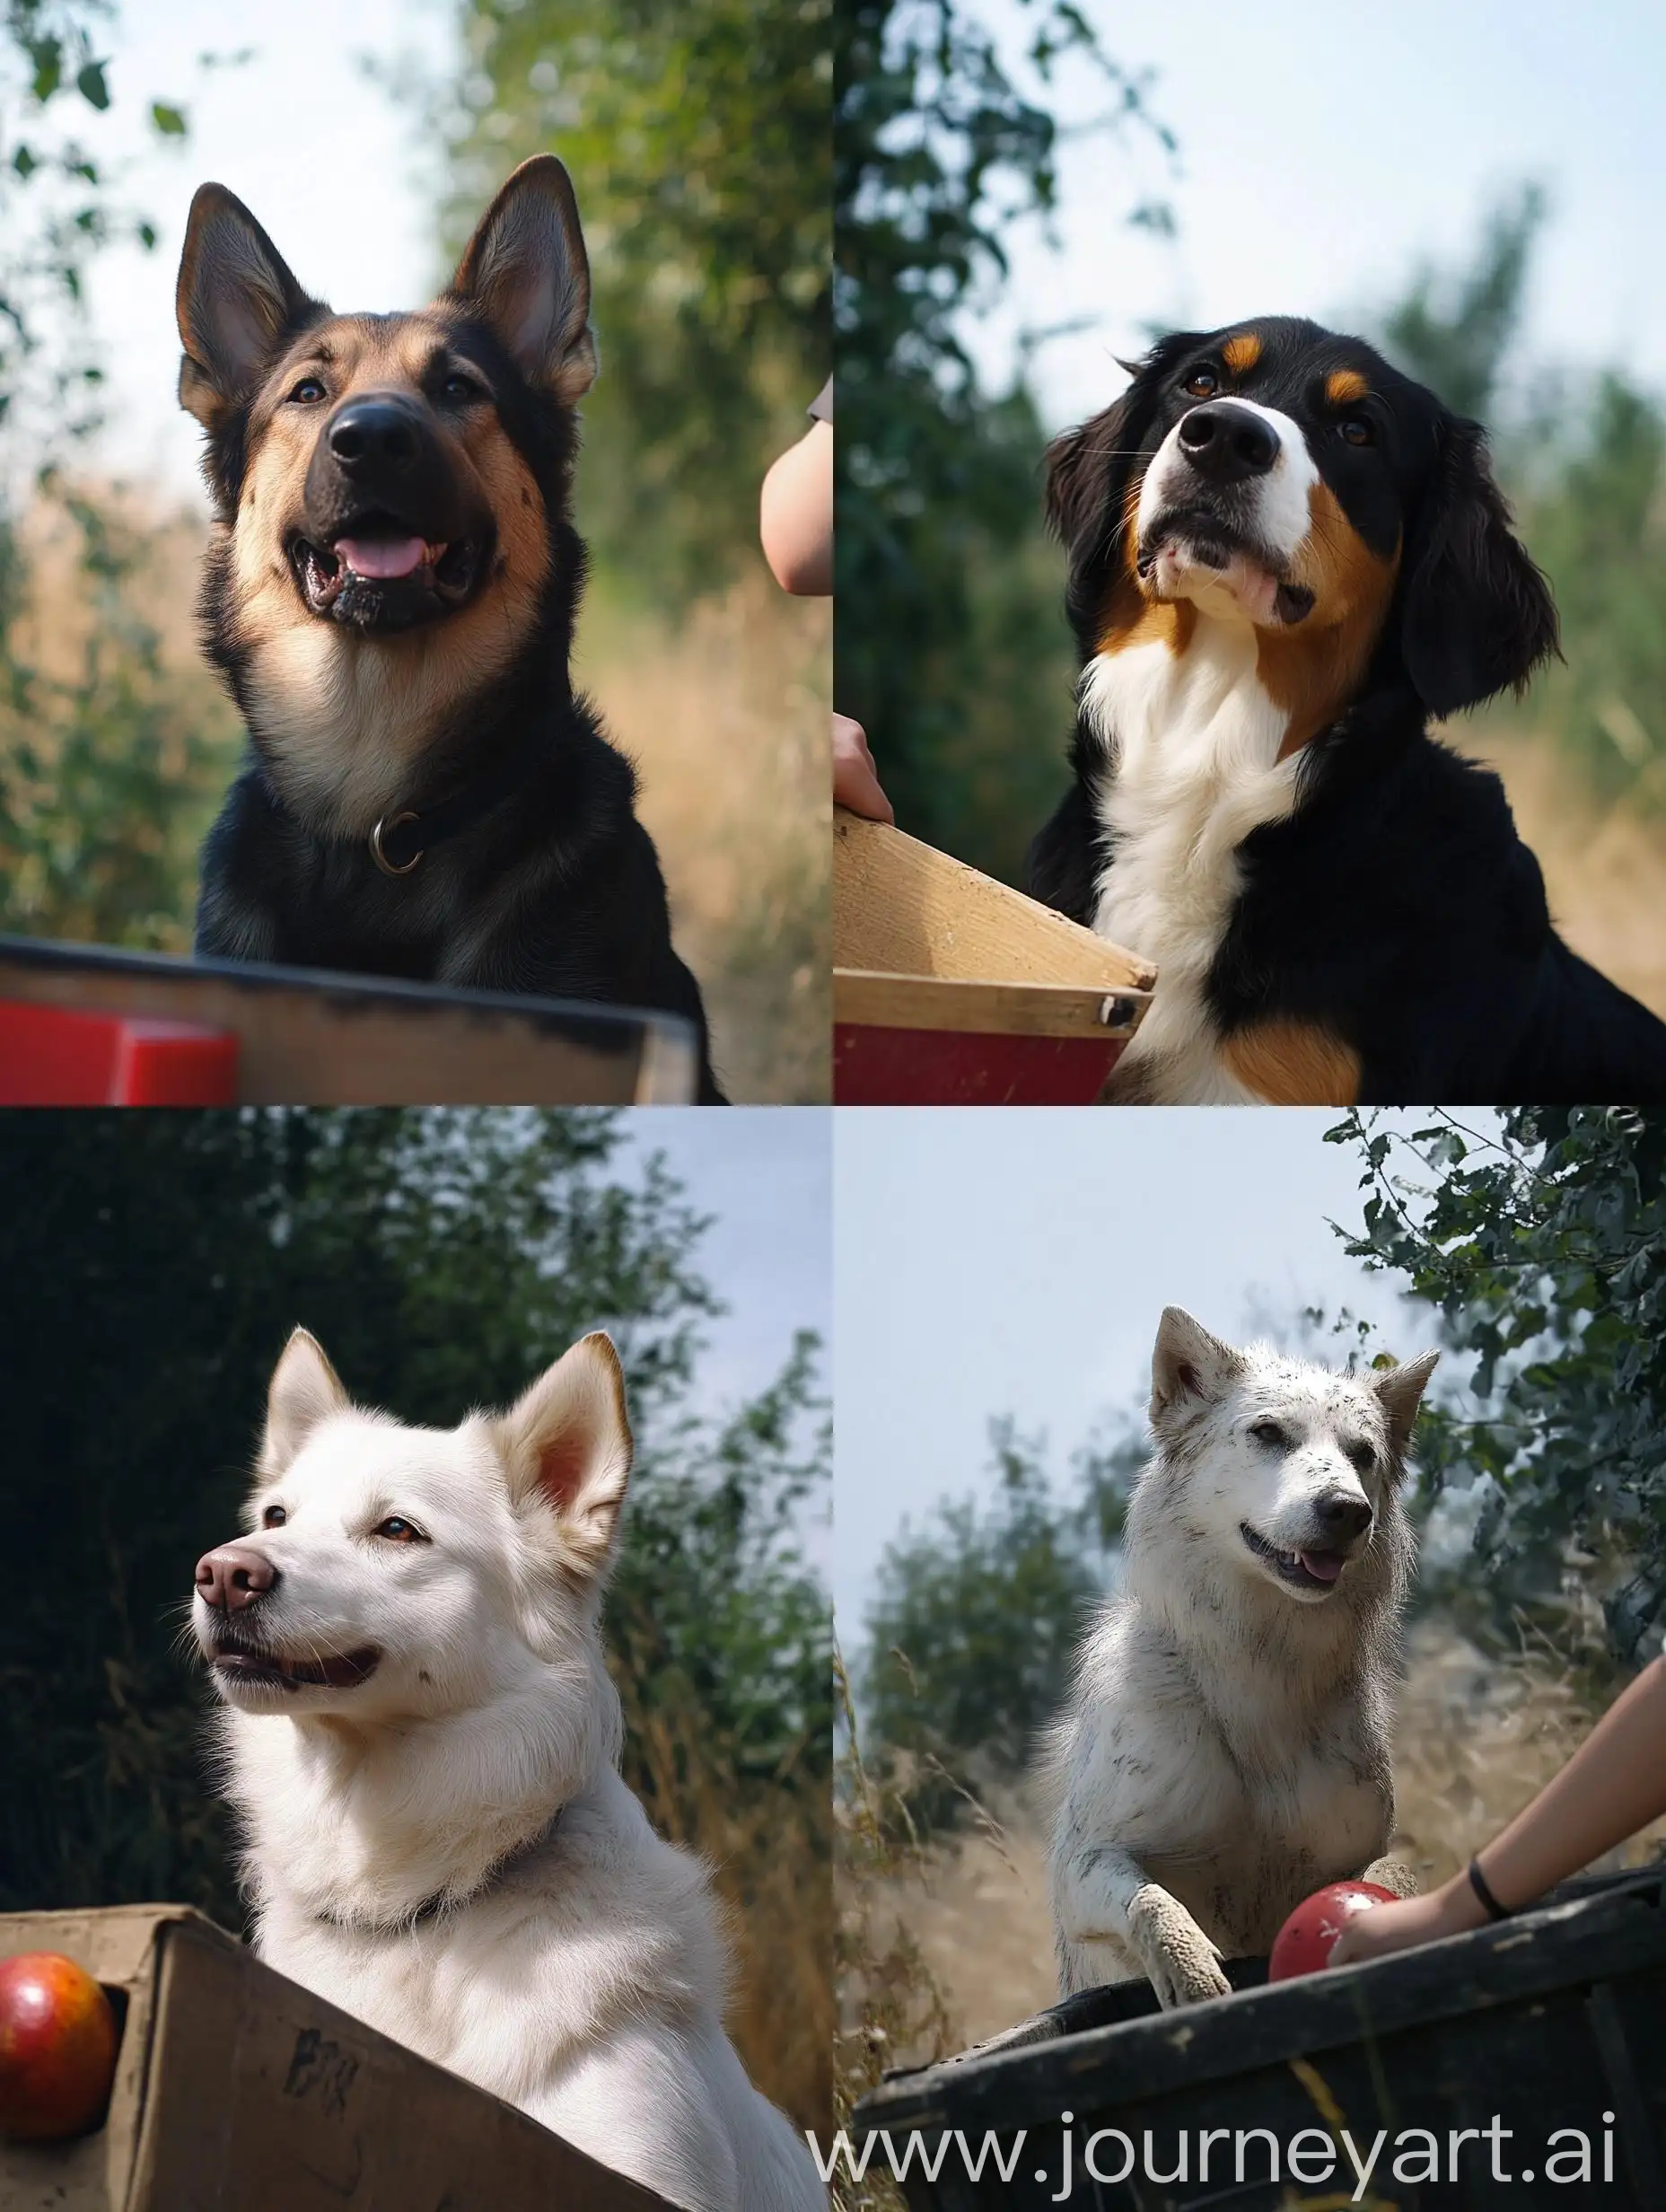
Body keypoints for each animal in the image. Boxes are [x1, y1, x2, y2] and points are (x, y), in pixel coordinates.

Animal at [1044, 1300, 1434, 2017]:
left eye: (1363, 1455)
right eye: (1268, 1434)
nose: (1348, 1511)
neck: (1260, 1676)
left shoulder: (1358, 1850)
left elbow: (1395, 1872)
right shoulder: (1083, 1868)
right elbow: (1154, 1902)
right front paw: (1193, 1977)